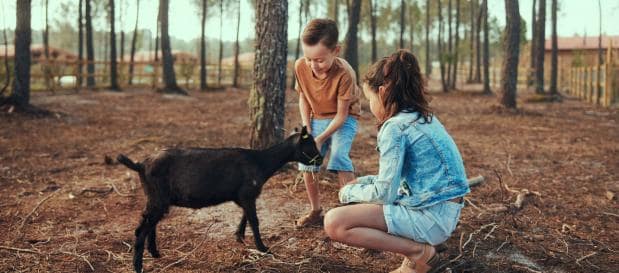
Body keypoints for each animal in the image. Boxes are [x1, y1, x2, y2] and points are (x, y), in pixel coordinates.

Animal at [115, 126, 324, 270]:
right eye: (310, 144)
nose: (321, 159)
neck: (261, 162)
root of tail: (141, 164)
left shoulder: (244, 196)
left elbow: (246, 216)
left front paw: (239, 236)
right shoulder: (248, 193)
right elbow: (254, 220)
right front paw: (263, 248)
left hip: (156, 198)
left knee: (149, 224)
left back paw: (155, 253)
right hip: (158, 198)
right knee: (141, 229)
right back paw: (138, 266)